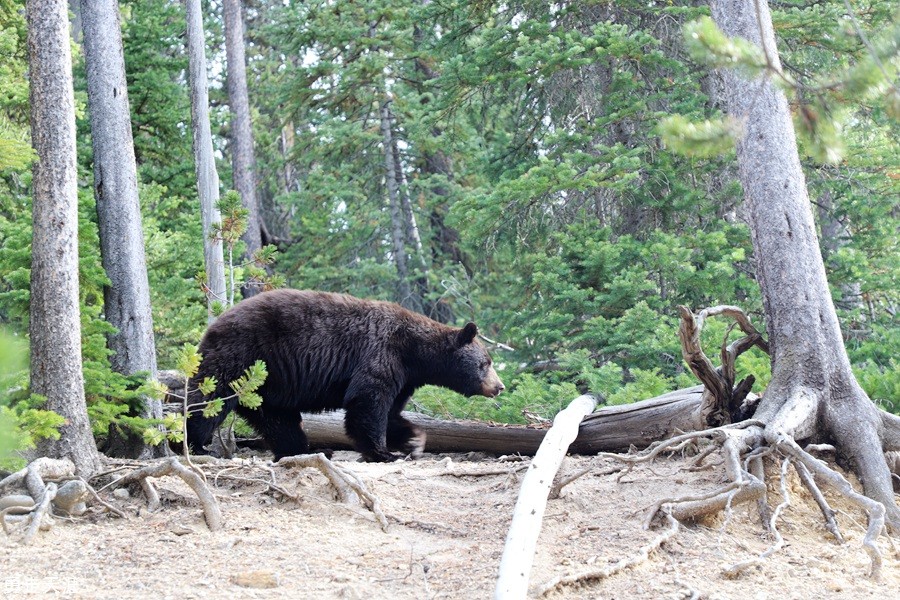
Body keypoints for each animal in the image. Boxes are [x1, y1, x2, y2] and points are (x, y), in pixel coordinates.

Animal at [183, 288, 506, 462]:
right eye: (486, 362)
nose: (499, 386)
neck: (413, 352)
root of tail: (212, 326)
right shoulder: (381, 353)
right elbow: (367, 402)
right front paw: (383, 452)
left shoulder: (403, 377)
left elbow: (391, 412)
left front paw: (413, 439)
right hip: (241, 356)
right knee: (210, 398)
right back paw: (195, 444)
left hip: (266, 384)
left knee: (278, 419)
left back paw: (301, 451)